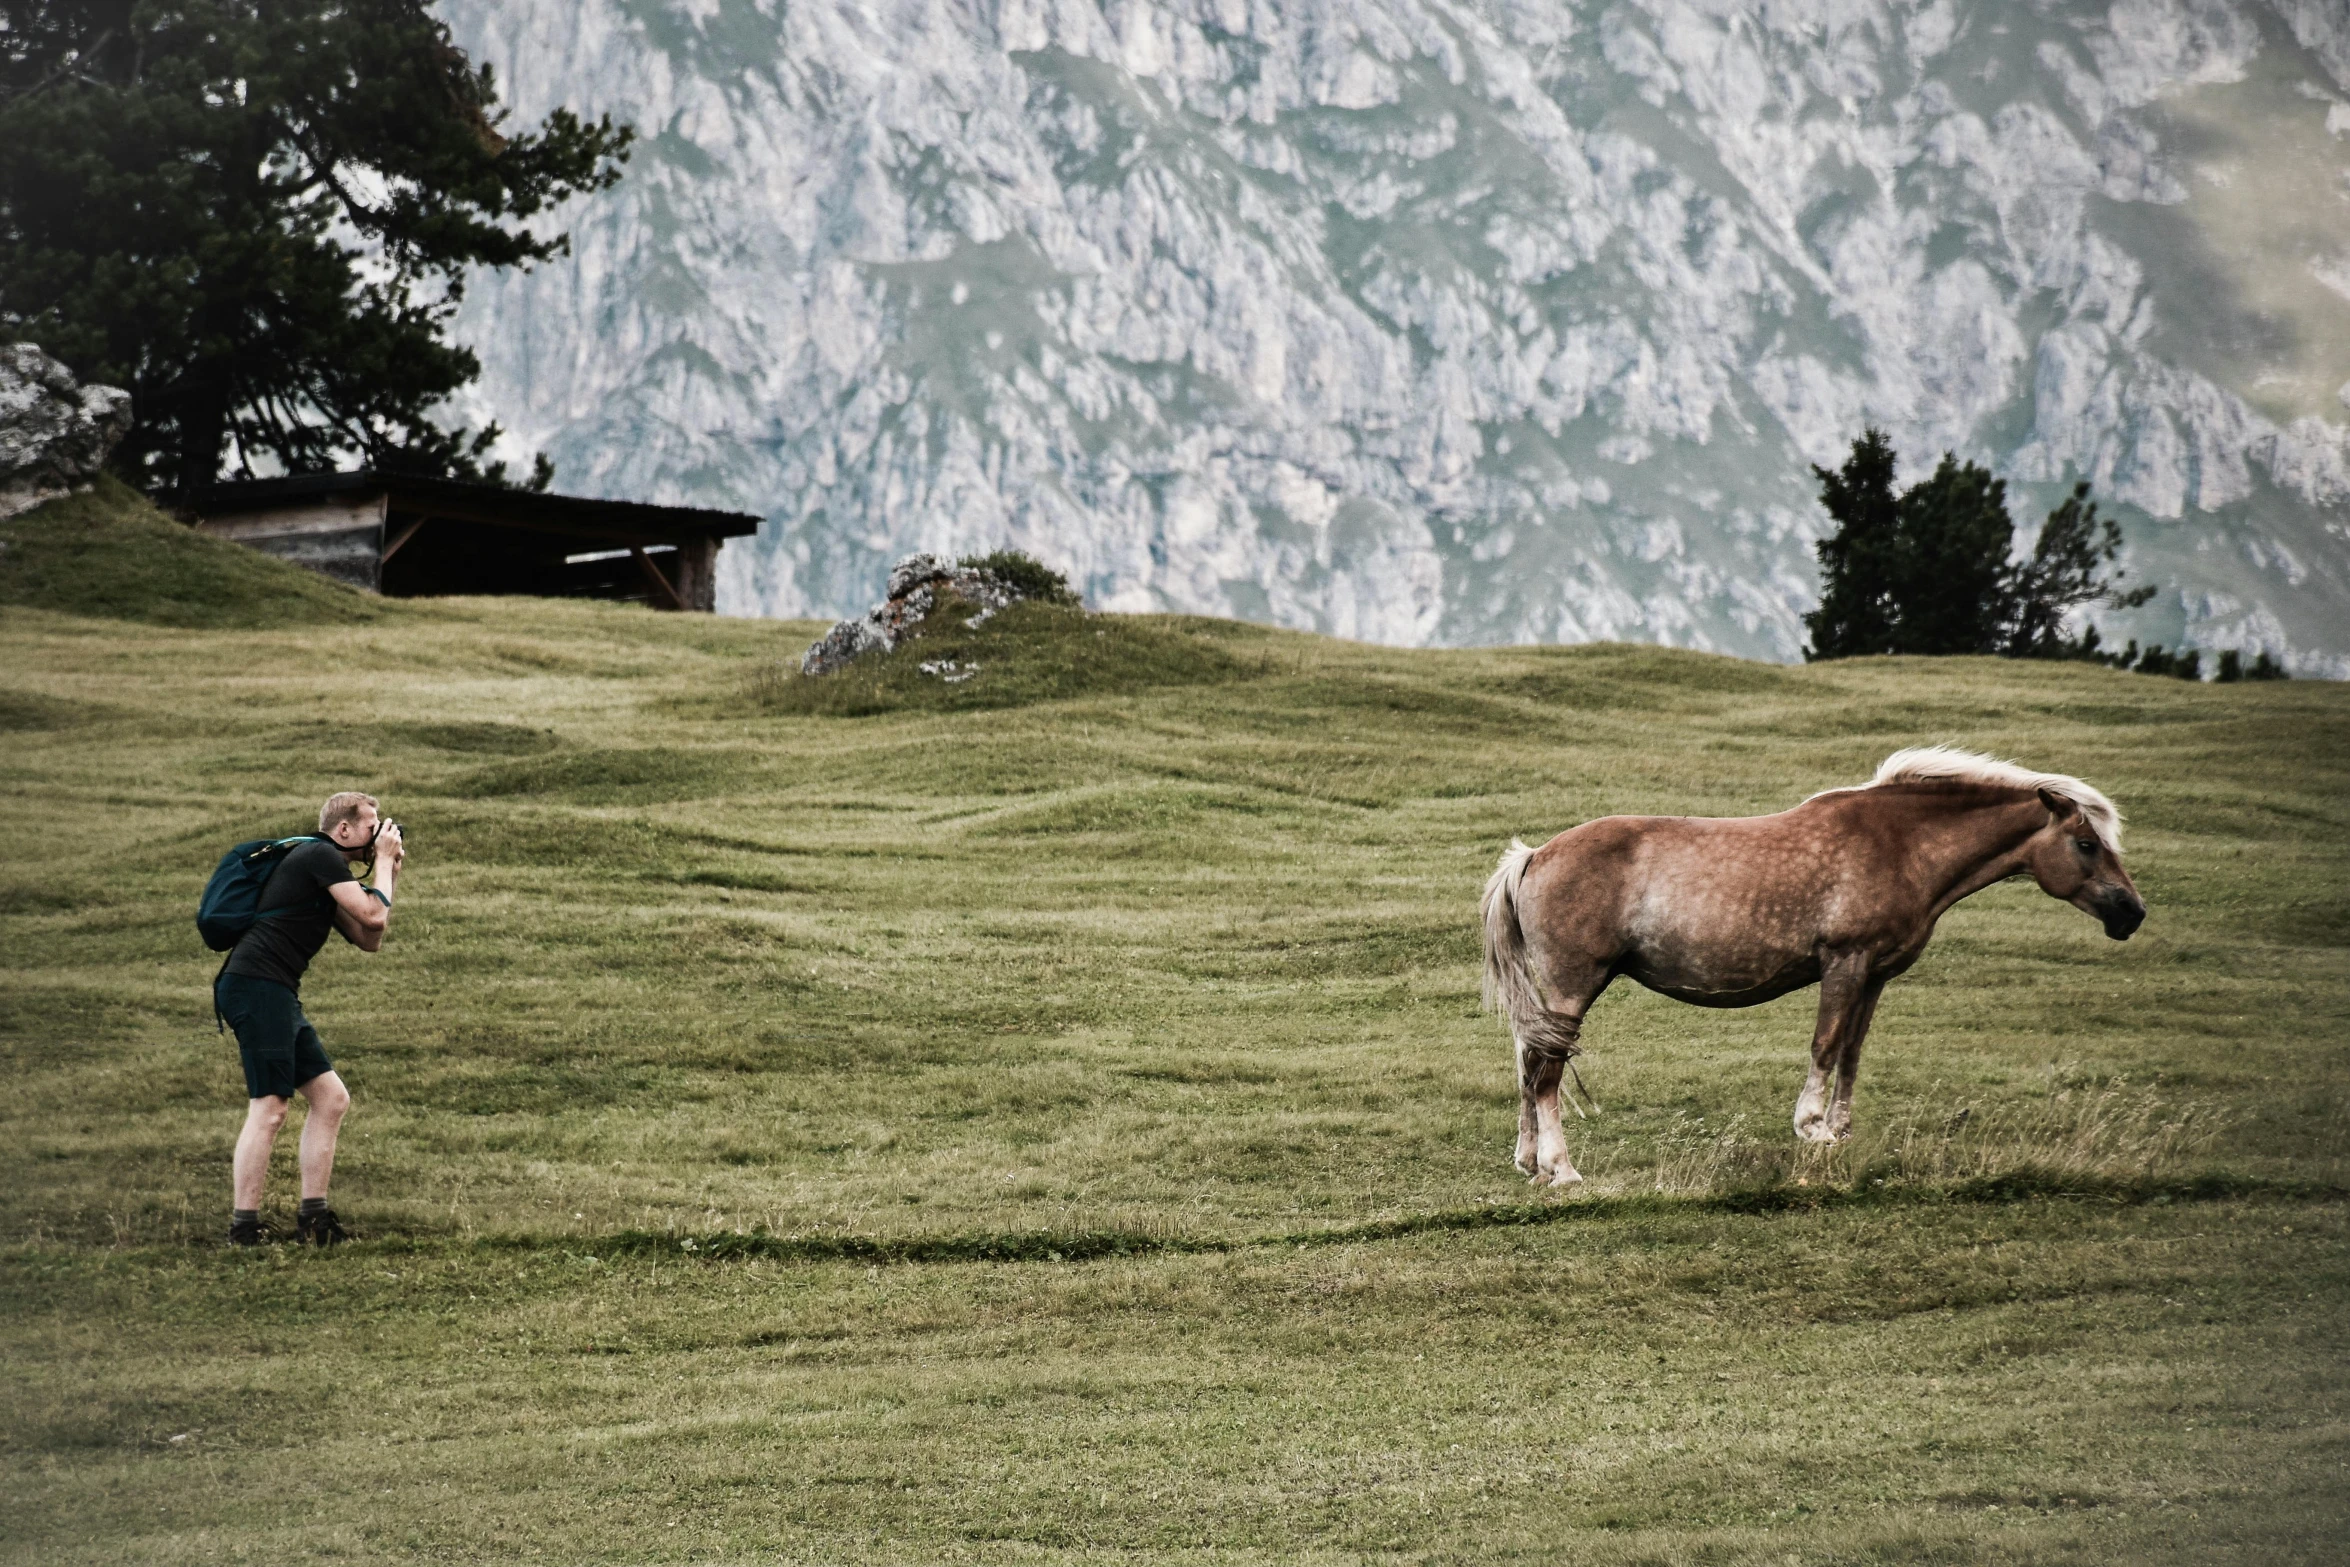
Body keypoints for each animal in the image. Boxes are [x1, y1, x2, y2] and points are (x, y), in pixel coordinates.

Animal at [1485, 747, 2152, 1188]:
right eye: (2086, 844)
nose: (2132, 912)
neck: (1901, 843)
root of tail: (1534, 856)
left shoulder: (1875, 974)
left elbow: (1852, 1052)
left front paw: (1840, 1133)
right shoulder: (1845, 962)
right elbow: (1825, 1044)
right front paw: (1812, 1127)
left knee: (1527, 1064)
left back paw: (1529, 1162)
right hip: (1574, 987)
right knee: (1545, 1073)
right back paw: (1561, 1169)